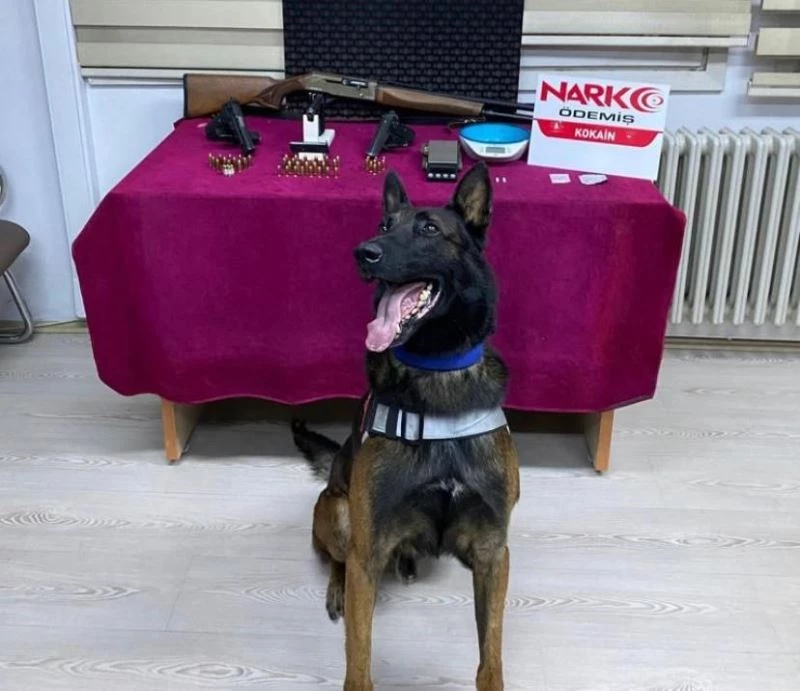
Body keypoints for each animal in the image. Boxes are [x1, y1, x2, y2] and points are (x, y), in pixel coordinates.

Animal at [293, 162, 519, 690]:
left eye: (429, 229)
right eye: (383, 225)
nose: (363, 252)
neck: (436, 375)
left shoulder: (493, 553)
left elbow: (491, 655)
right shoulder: (367, 549)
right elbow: (358, 655)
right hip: (339, 513)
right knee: (338, 559)